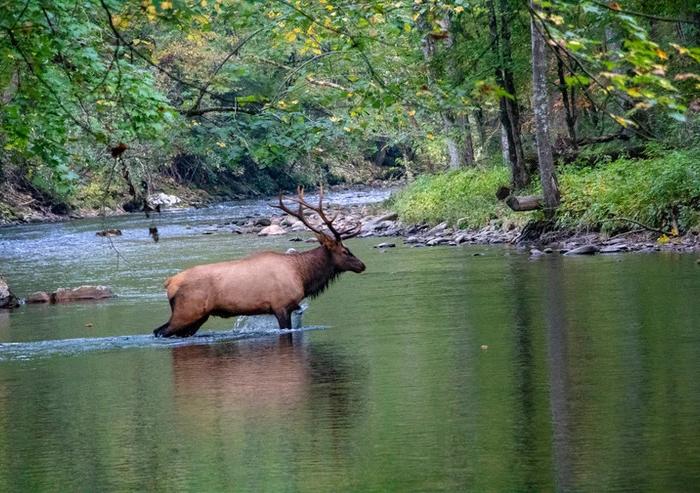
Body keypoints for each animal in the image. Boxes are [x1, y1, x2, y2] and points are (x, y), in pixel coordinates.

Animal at [150, 186, 364, 336]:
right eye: (345, 251)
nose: (362, 265)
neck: (303, 275)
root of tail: (169, 283)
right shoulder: (281, 306)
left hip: (197, 317)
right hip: (186, 311)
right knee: (159, 331)